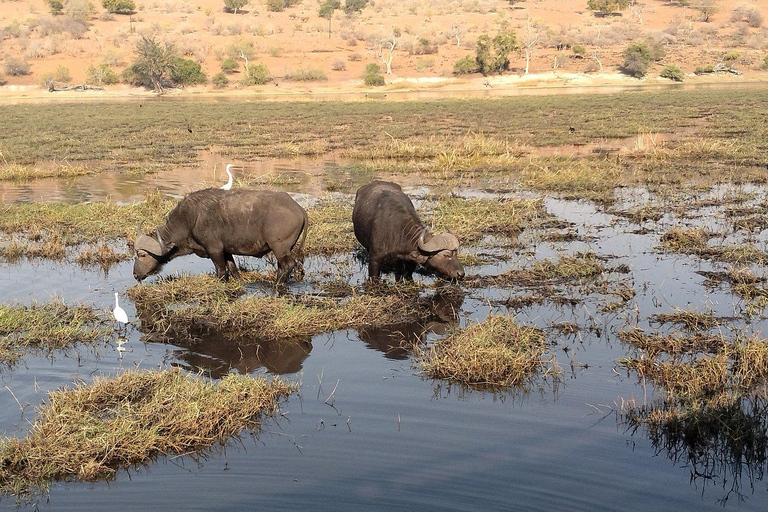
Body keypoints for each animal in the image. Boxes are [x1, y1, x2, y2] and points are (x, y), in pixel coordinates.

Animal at [134, 188, 308, 284]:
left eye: (142, 255)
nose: (135, 275)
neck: (191, 219)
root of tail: (299, 209)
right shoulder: (226, 251)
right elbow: (233, 268)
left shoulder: (214, 250)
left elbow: (221, 271)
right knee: (282, 266)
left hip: (279, 247)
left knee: (288, 265)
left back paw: (277, 284)